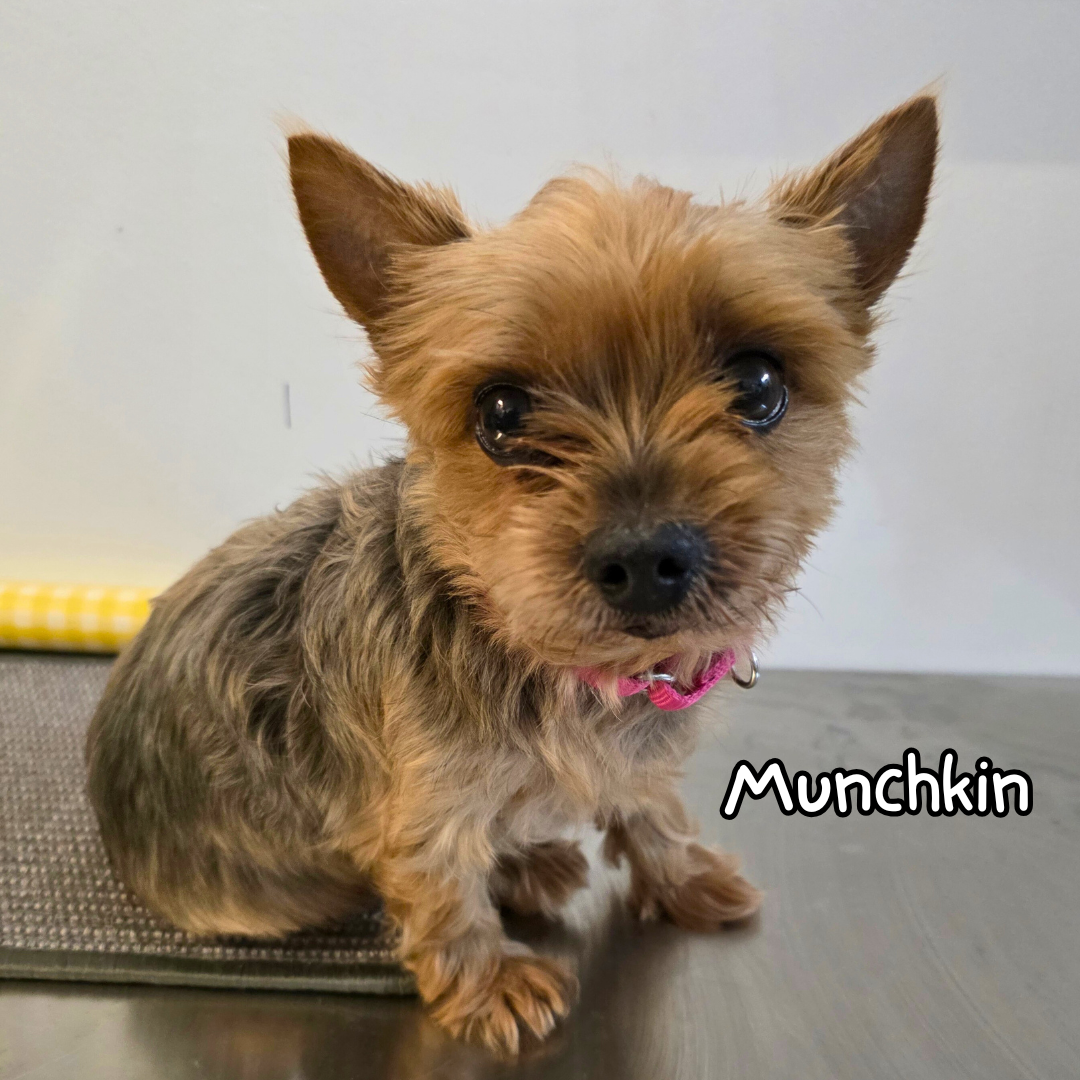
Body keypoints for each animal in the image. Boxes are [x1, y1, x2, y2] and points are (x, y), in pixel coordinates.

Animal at [86, 93, 937, 1054]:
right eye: (501, 412)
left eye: (760, 383)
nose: (645, 557)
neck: (567, 670)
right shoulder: (421, 798)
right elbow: (440, 884)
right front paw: (488, 982)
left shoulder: (632, 764)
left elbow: (651, 807)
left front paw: (680, 876)